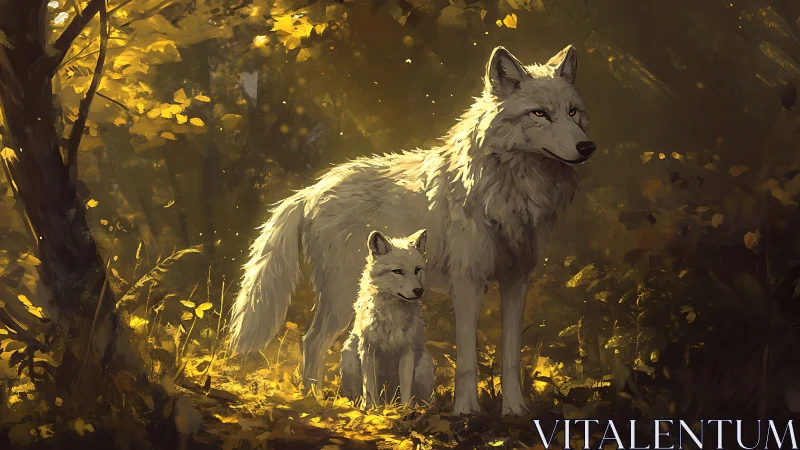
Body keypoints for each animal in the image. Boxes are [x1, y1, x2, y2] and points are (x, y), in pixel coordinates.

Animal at [338, 229, 436, 408]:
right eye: (397, 271)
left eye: (417, 270)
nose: (419, 291)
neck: (392, 315)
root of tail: (389, 399)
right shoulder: (368, 351)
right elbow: (369, 387)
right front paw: (370, 409)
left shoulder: (407, 352)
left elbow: (406, 389)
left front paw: (406, 410)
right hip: (349, 360)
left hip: (424, 366)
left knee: (425, 399)